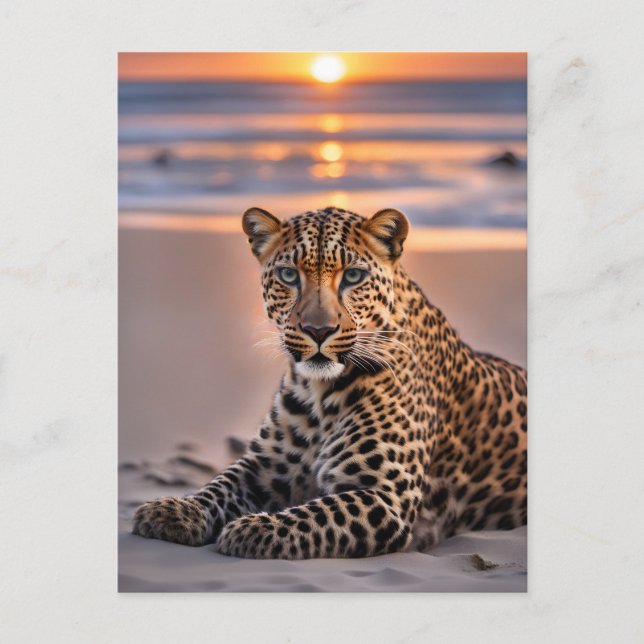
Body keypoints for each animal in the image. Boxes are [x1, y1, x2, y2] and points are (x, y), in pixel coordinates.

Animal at [132, 206, 527, 559]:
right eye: (288, 275)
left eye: (353, 277)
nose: (318, 330)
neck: (319, 393)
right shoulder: (262, 467)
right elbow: (218, 485)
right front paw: (173, 510)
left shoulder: (383, 496)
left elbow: (314, 515)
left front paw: (254, 527)